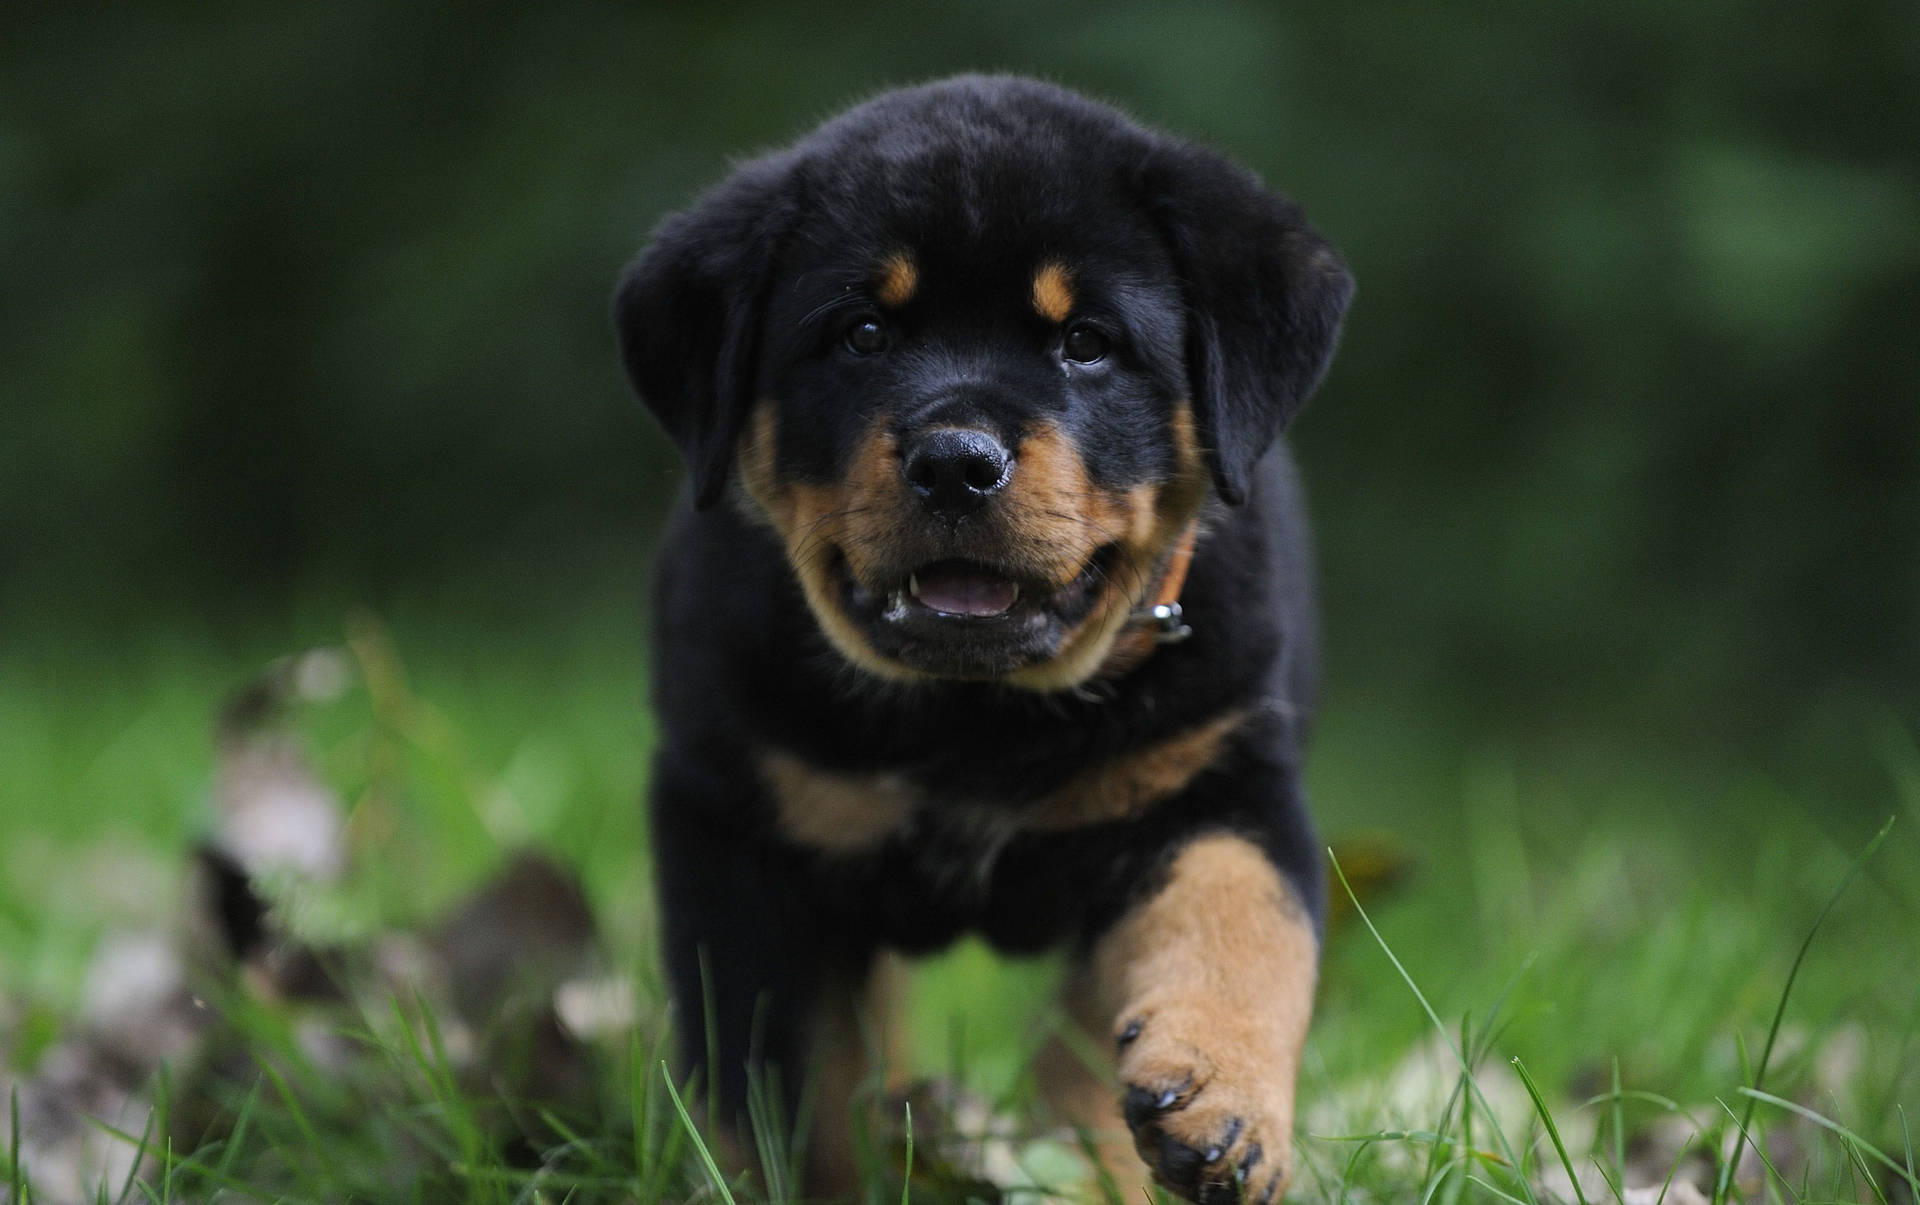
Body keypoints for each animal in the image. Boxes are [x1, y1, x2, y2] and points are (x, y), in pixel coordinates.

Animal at [614, 77, 1351, 1205]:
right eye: (864, 333)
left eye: (1086, 340)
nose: (957, 461)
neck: (976, 717)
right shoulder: (736, 818)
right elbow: (765, 1064)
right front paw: (770, 1174)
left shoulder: (1221, 776)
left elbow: (1244, 919)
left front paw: (1220, 1104)